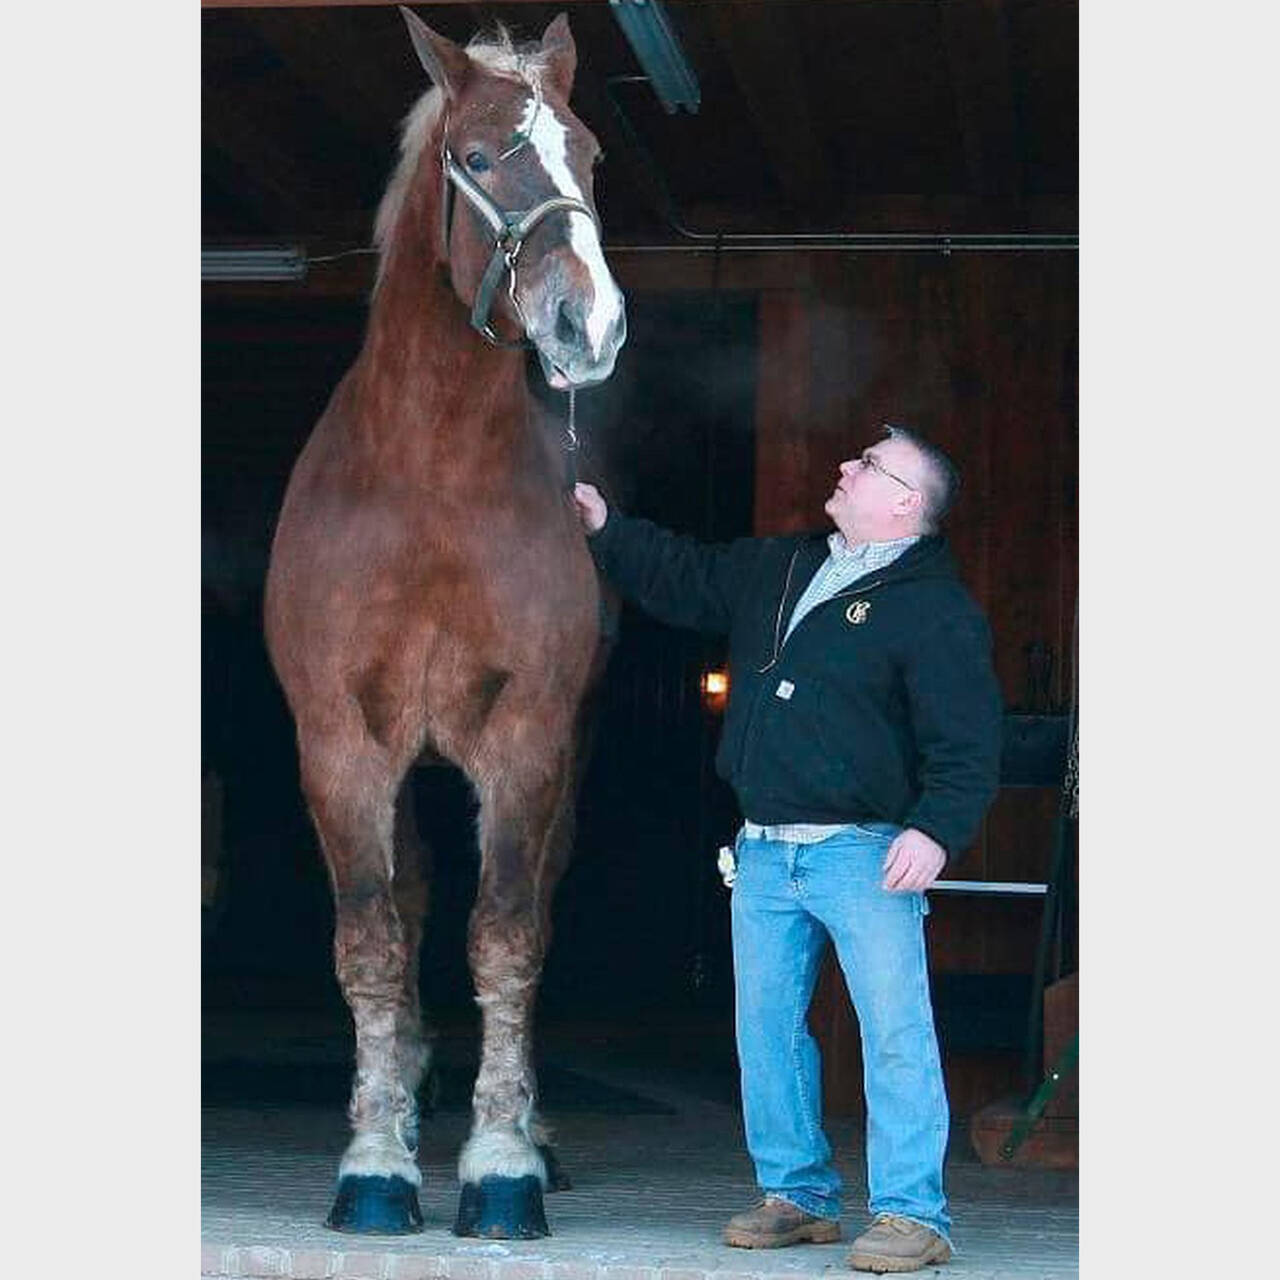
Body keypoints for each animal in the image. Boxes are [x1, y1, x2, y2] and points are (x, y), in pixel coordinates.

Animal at [263, 7, 629, 1239]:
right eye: (476, 157)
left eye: (589, 156)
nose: (588, 323)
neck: (430, 476)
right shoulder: (340, 744)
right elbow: (373, 939)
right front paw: (376, 1160)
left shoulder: (525, 741)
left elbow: (507, 935)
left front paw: (502, 1162)